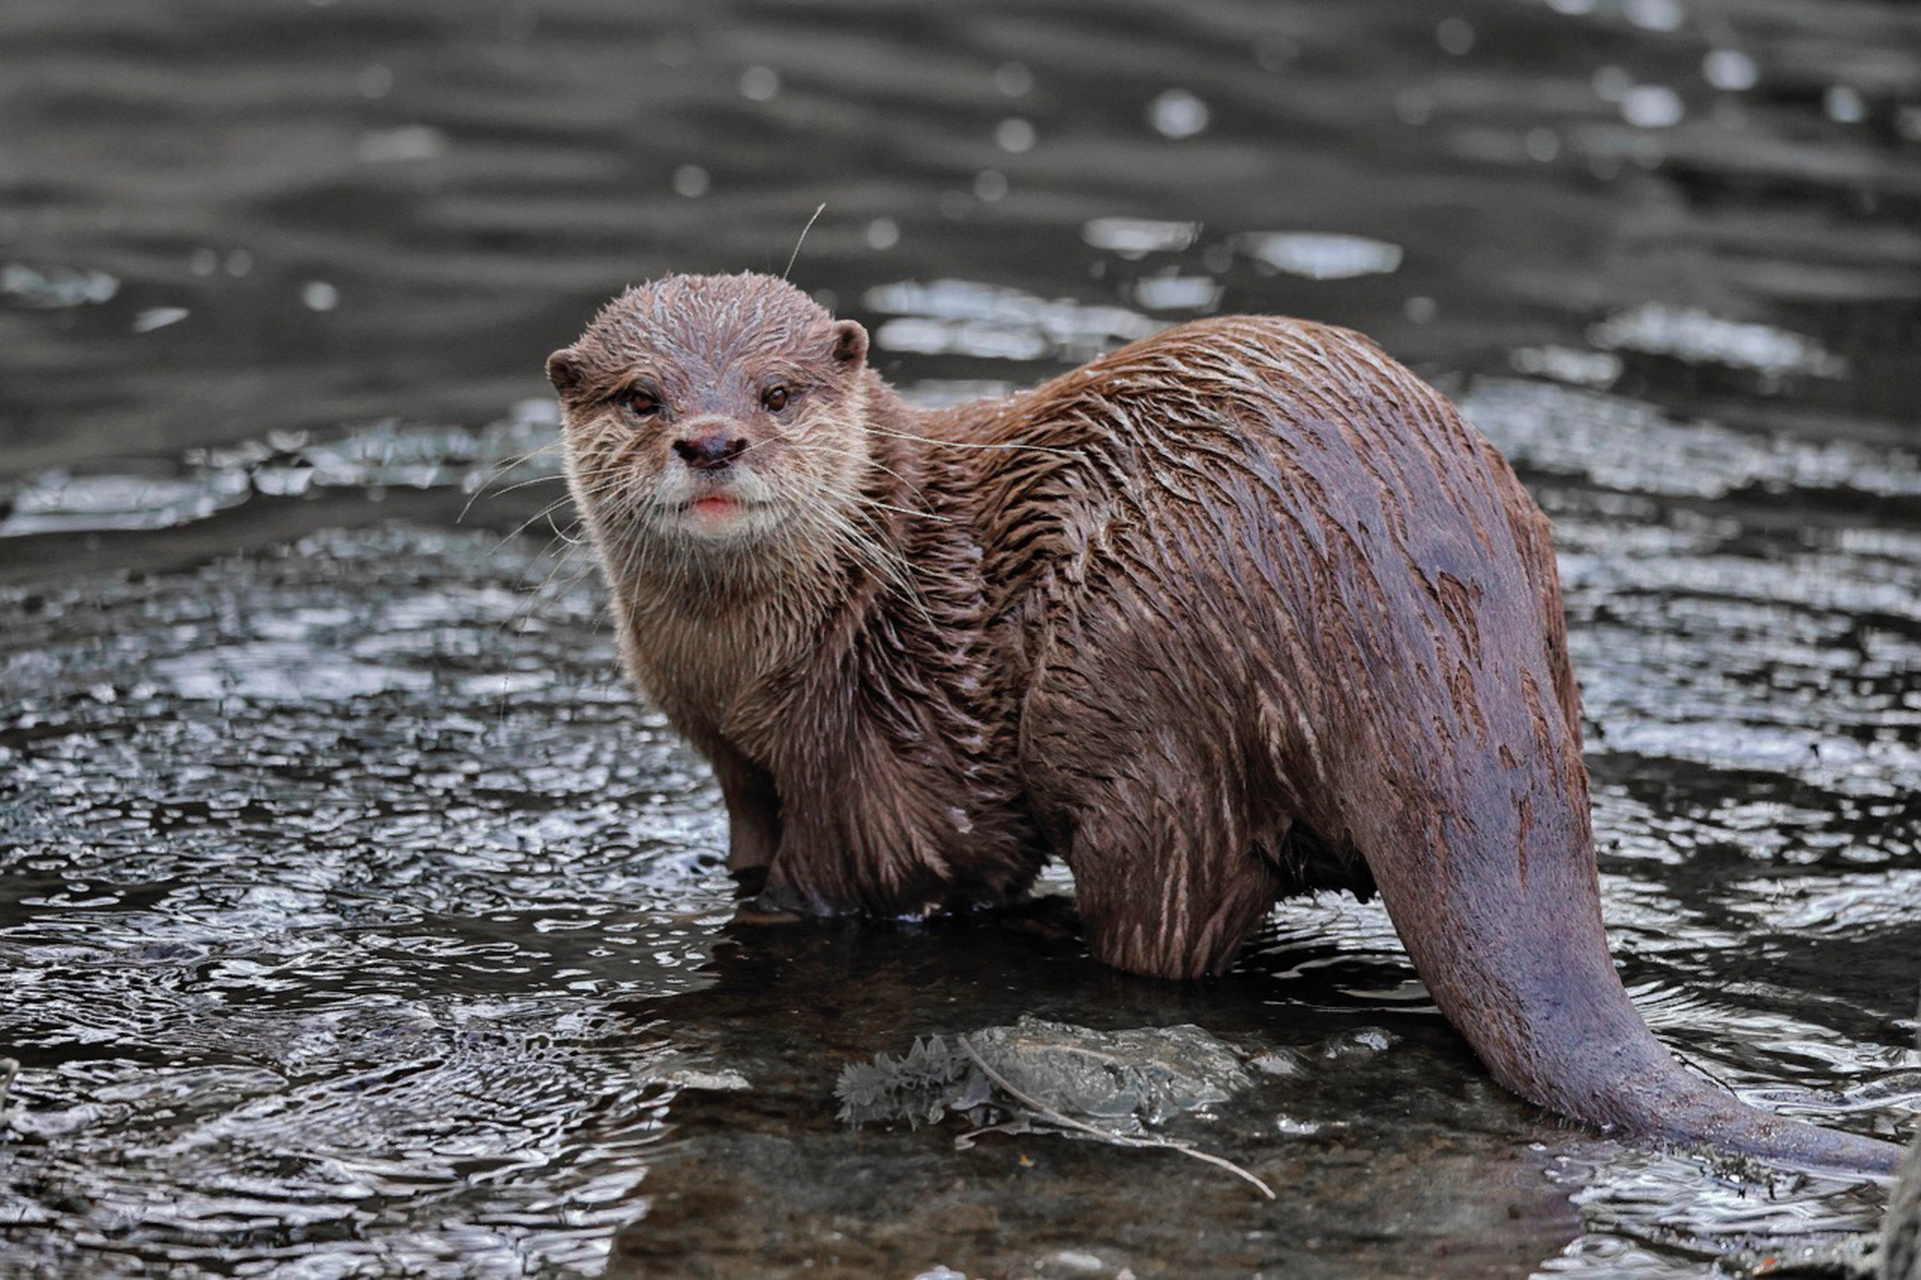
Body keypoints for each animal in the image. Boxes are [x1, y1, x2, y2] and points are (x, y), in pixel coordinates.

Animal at [545, 270, 1905, 1176]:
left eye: (775, 391)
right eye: (640, 394)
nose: (710, 438)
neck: (774, 655)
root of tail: (1425, 629)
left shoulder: (885, 752)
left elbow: (892, 873)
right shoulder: (737, 760)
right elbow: (749, 841)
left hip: (1142, 716)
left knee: (1165, 915)